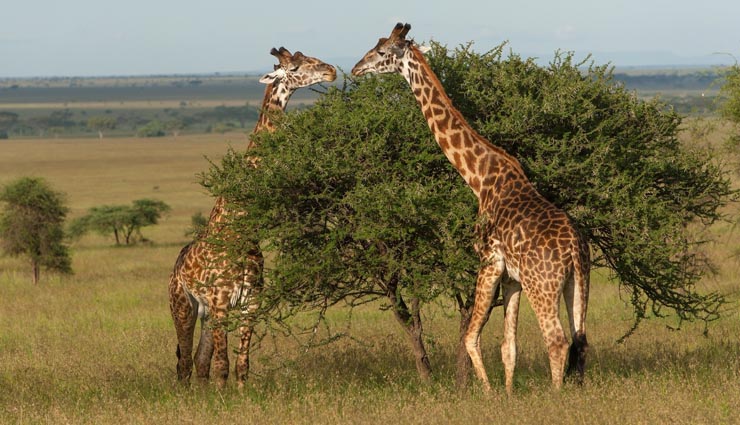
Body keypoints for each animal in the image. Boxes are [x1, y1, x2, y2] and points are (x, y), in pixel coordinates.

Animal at [168, 47, 336, 389]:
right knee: (184, 363)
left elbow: (241, 364)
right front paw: (224, 396)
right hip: (182, 305)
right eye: (296, 67)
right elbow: (223, 364)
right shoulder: (221, 302)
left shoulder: (250, 303)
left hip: (205, 312)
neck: (242, 226)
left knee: (199, 362)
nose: (331, 71)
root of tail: (175, 267)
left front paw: (242, 395)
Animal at [352, 23, 590, 394]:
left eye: (381, 52)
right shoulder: (512, 277)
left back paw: (556, 396)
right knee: (580, 339)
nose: (356, 69)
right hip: (577, 283)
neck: (479, 178)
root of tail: (574, 249)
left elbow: (470, 337)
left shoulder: (488, 261)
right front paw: (508, 395)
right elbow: (508, 346)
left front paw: (489, 394)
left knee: (557, 340)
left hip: (543, 284)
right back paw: (576, 392)